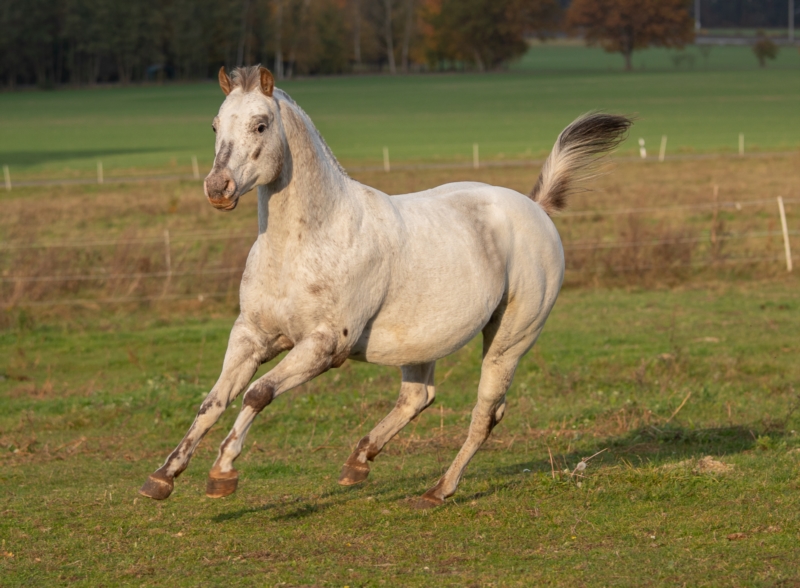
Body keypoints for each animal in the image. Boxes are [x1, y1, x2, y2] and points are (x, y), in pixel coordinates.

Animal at [139, 63, 632, 506]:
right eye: (215, 124)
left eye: (260, 125)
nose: (217, 188)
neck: (304, 244)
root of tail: (536, 208)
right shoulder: (252, 335)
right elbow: (213, 401)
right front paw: (162, 478)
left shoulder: (324, 346)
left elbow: (256, 393)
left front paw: (222, 472)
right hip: (422, 342)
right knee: (418, 397)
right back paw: (359, 462)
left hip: (509, 341)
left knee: (486, 412)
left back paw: (437, 491)